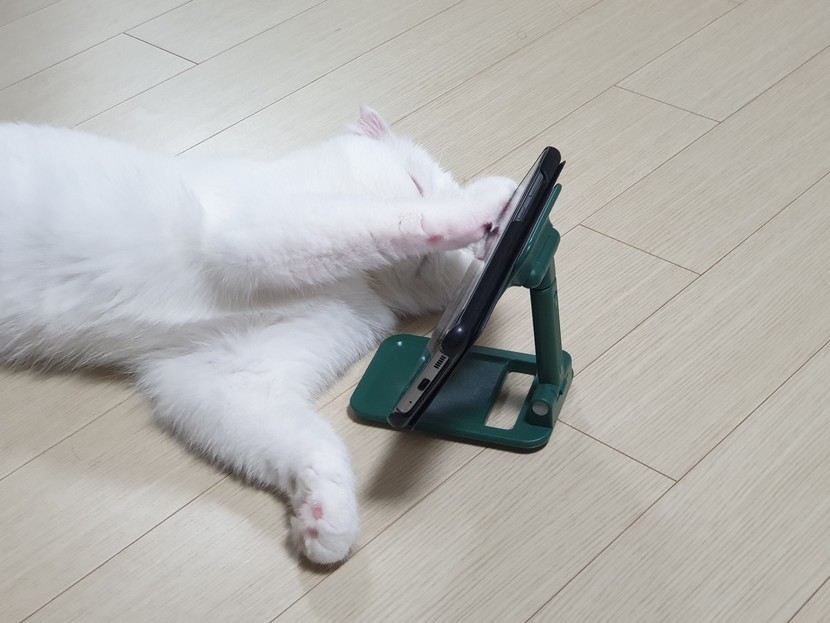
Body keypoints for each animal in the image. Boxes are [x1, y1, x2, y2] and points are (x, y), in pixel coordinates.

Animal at [0, 107, 517, 564]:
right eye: (416, 183)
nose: (488, 238)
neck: (357, 283)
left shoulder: (228, 373)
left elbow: (313, 441)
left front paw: (326, 519)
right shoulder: (255, 234)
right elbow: (391, 219)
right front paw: (490, 200)